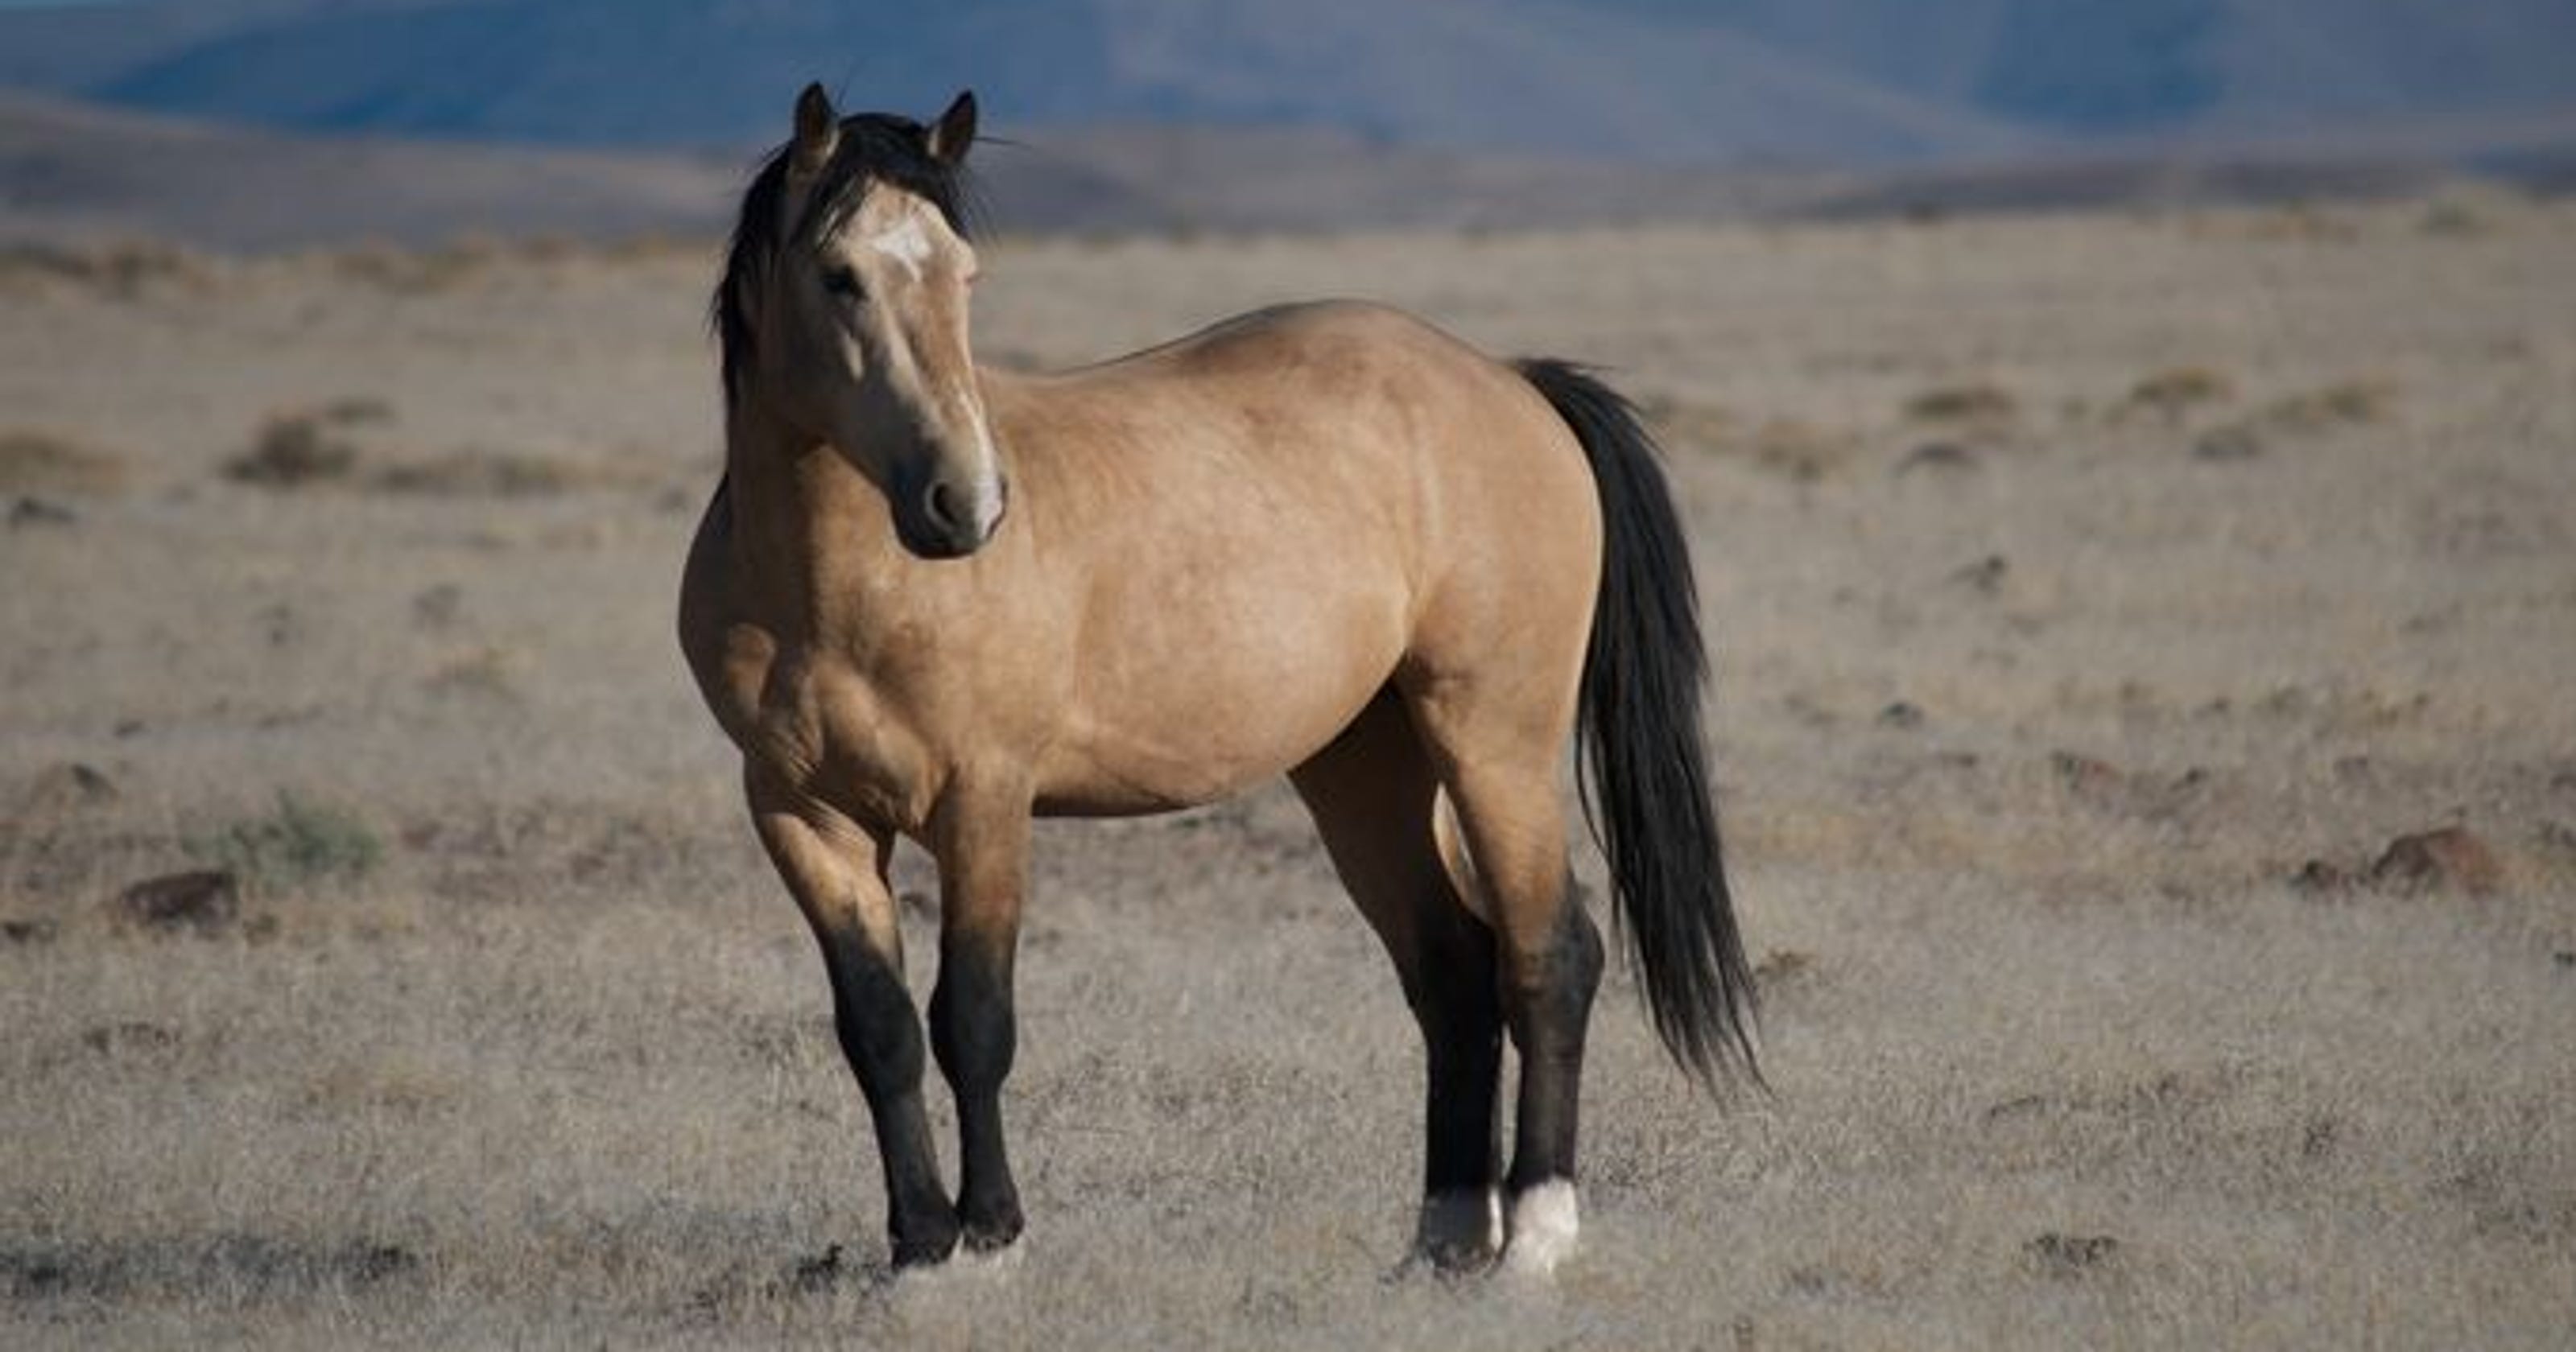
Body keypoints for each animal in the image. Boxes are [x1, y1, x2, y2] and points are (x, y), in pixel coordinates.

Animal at [679, 85, 1757, 1277]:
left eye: (965, 273)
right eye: (840, 276)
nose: (965, 502)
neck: (843, 588)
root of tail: (1509, 383)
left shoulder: (984, 801)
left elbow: (974, 1021)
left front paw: (994, 1240)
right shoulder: (801, 815)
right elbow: (878, 1029)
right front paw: (920, 1246)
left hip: (1494, 741)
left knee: (1548, 952)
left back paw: (1533, 1238)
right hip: (1366, 767)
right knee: (1453, 971)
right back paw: (1440, 1243)